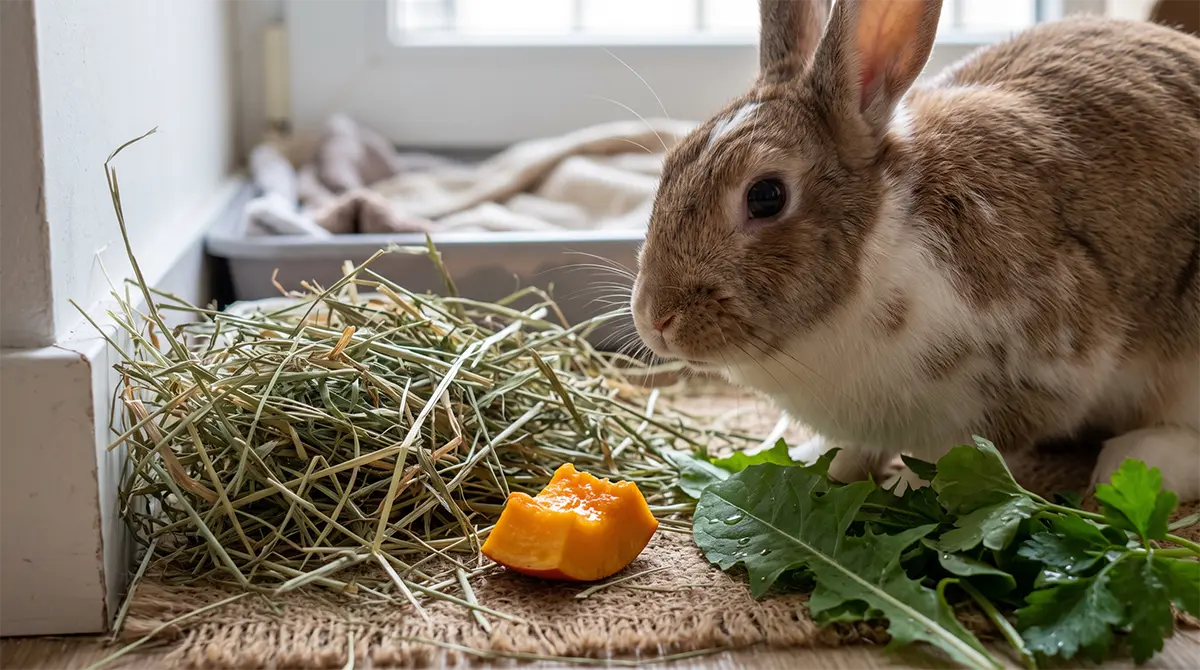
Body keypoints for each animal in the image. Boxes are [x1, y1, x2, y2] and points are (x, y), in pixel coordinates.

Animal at [630, 0, 1200, 502]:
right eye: (670, 167)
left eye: (766, 196)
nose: (655, 319)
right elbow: (855, 448)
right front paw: (825, 463)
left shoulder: (1043, 364)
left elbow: (961, 452)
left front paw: (911, 486)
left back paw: (1133, 462)